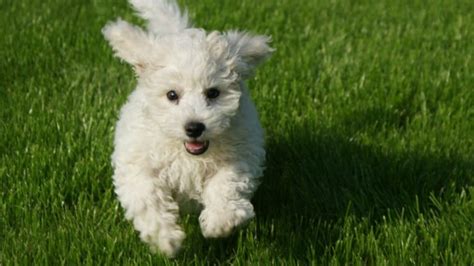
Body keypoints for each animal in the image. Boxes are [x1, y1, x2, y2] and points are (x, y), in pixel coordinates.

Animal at [103, 0, 274, 256]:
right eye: (172, 95)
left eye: (213, 93)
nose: (194, 127)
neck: (189, 156)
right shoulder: (138, 162)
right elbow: (148, 196)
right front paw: (166, 239)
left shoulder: (240, 153)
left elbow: (226, 183)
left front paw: (219, 222)